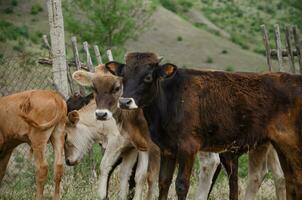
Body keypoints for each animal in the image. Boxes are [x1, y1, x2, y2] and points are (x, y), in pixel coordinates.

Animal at [105, 52, 302, 199]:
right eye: (123, 76)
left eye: (147, 77)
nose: (125, 102)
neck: (171, 99)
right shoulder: (167, 149)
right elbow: (164, 181)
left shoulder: (188, 147)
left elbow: (181, 184)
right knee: (289, 179)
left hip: (290, 143)